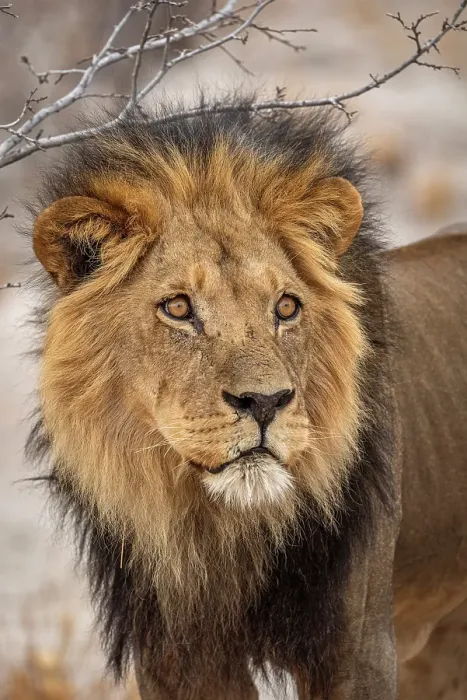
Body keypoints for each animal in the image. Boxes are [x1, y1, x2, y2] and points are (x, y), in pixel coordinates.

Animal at [26, 100, 467, 700]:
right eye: (179, 308)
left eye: (285, 307)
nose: (265, 401)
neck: (221, 530)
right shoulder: (175, 658)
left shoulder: (357, 647)